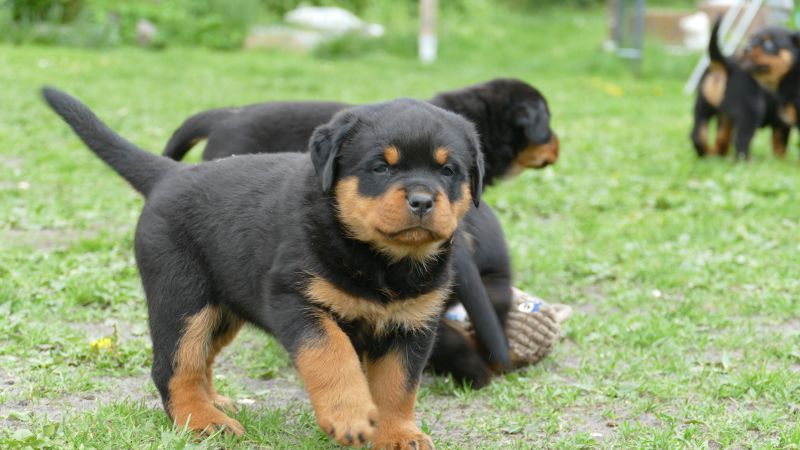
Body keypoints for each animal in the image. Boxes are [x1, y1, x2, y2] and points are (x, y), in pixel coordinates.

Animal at [43, 87, 485, 448]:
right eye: (382, 167)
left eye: (448, 170)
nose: (423, 200)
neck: (382, 262)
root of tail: (172, 174)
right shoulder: (295, 298)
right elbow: (333, 356)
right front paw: (350, 415)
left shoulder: (412, 324)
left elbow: (398, 385)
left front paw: (397, 434)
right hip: (181, 297)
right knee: (174, 366)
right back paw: (203, 421)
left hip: (222, 308)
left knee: (200, 358)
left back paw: (215, 403)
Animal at [691, 19, 788, 160]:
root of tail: (726, 64)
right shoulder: (783, 120)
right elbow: (780, 142)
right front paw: (781, 160)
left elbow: (722, 136)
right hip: (751, 111)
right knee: (741, 140)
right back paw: (746, 160)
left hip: (703, 106)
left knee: (698, 135)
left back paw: (710, 155)